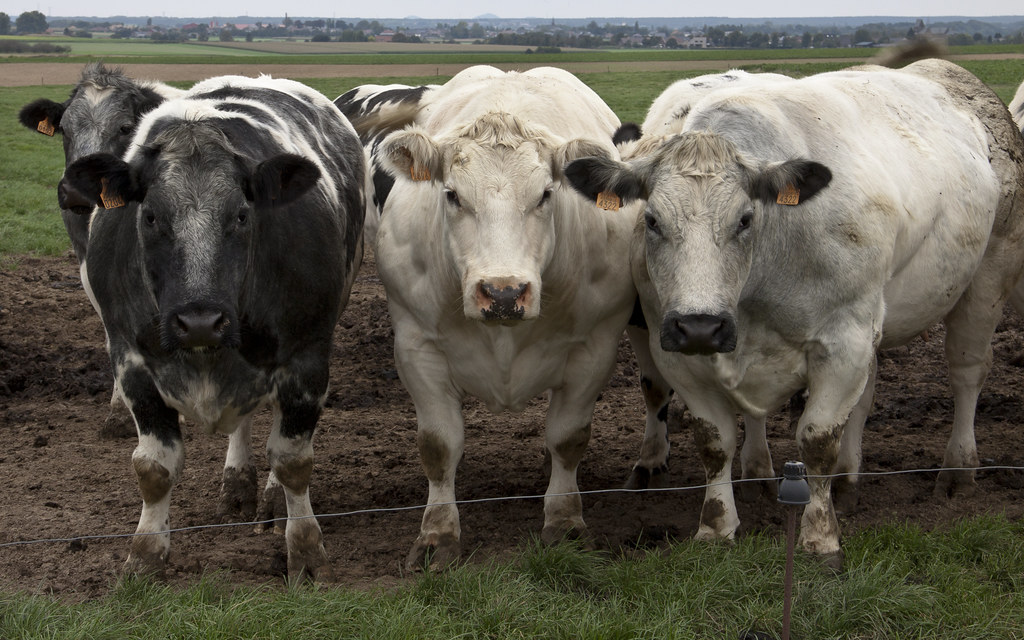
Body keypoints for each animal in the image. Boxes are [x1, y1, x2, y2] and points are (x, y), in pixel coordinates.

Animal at [18, 63, 185, 438]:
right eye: (64, 129)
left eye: (124, 127)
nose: (76, 191)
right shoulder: (91, 268)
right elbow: (115, 335)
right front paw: (120, 409)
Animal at [60, 74, 365, 580]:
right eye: (150, 216)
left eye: (242, 215)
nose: (199, 321)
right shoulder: (132, 360)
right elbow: (153, 467)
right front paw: (144, 556)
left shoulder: (307, 359)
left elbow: (293, 460)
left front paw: (305, 550)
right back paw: (237, 483)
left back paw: (269, 499)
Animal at [355, 65, 642, 570]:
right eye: (451, 194)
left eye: (545, 194)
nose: (503, 293)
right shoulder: (416, 346)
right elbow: (438, 445)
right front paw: (437, 536)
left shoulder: (596, 347)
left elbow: (568, 438)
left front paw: (565, 523)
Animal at [565, 58, 1024, 567]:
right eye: (650, 220)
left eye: (745, 219)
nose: (702, 326)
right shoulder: (676, 352)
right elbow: (714, 441)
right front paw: (716, 528)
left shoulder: (843, 342)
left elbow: (818, 440)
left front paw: (820, 538)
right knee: (867, 396)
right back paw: (848, 480)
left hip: (988, 276)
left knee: (967, 372)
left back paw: (958, 468)